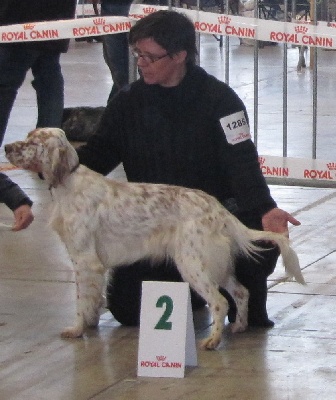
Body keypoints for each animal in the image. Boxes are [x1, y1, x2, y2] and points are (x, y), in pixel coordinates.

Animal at [4, 128, 304, 350]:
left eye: (33, 142)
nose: (6, 147)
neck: (68, 183)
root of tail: (216, 208)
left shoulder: (85, 260)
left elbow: (81, 301)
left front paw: (77, 329)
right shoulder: (94, 265)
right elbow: (93, 299)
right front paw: (90, 323)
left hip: (191, 264)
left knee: (220, 301)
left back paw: (212, 340)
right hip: (214, 264)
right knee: (241, 292)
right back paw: (239, 326)